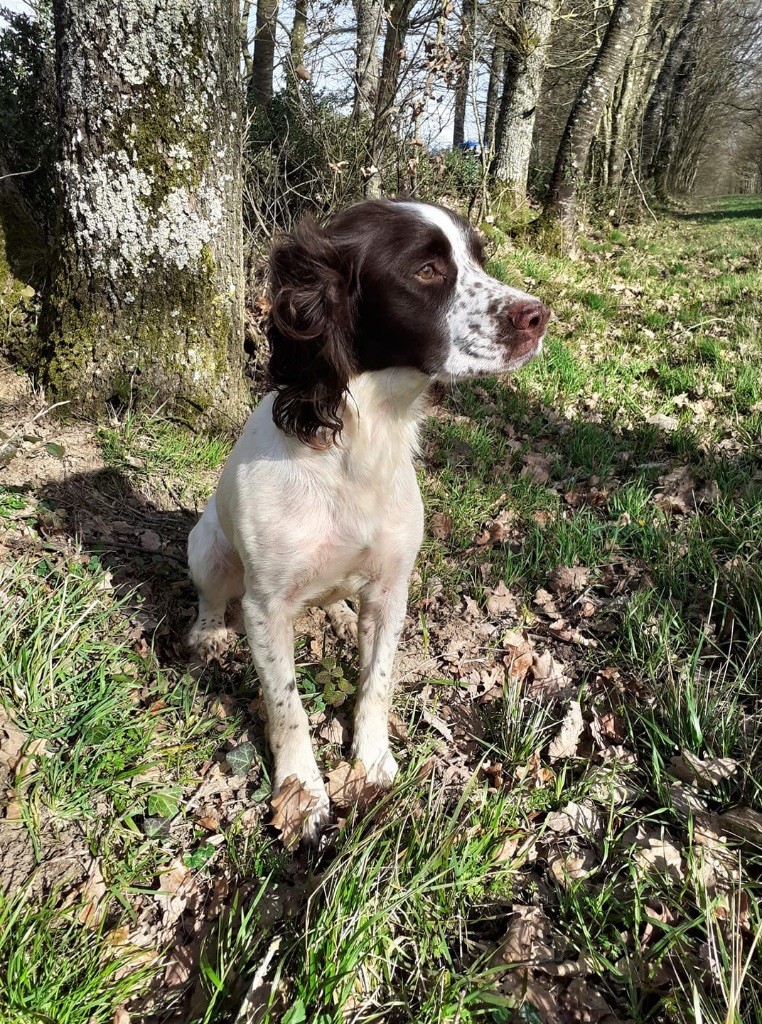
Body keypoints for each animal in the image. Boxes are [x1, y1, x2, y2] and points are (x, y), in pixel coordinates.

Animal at [187, 199, 548, 839]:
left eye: (478, 258)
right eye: (427, 270)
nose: (540, 315)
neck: (360, 439)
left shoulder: (389, 589)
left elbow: (376, 682)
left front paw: (372, 761)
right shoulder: (265, 606)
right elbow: (286, 705)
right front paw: (302, 791)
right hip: (205, 544)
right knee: (210, 594)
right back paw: (207, 634)